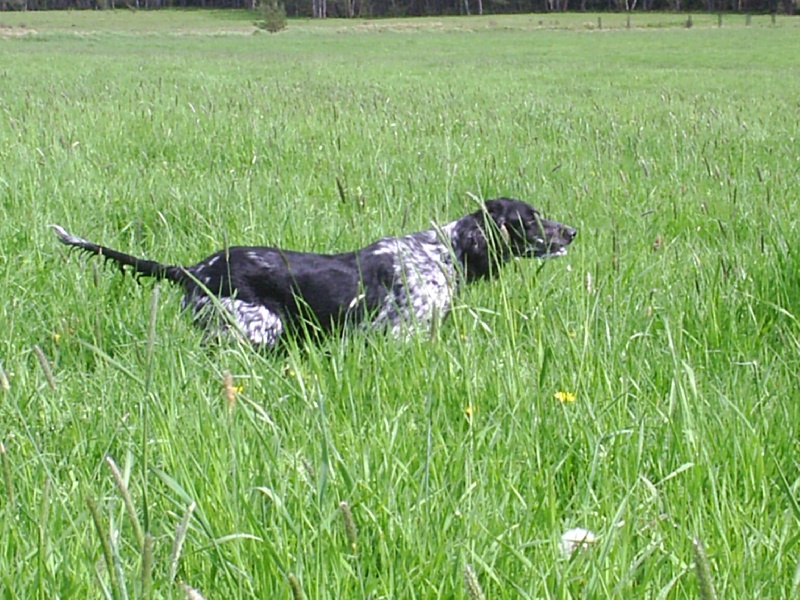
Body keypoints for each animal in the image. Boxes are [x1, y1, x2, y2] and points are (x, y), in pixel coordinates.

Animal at [54, 197, 576, 346]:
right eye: (530, 219)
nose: (571, 232)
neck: (441, 253)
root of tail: (194, 269)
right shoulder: (401, 335)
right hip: (256, 330)